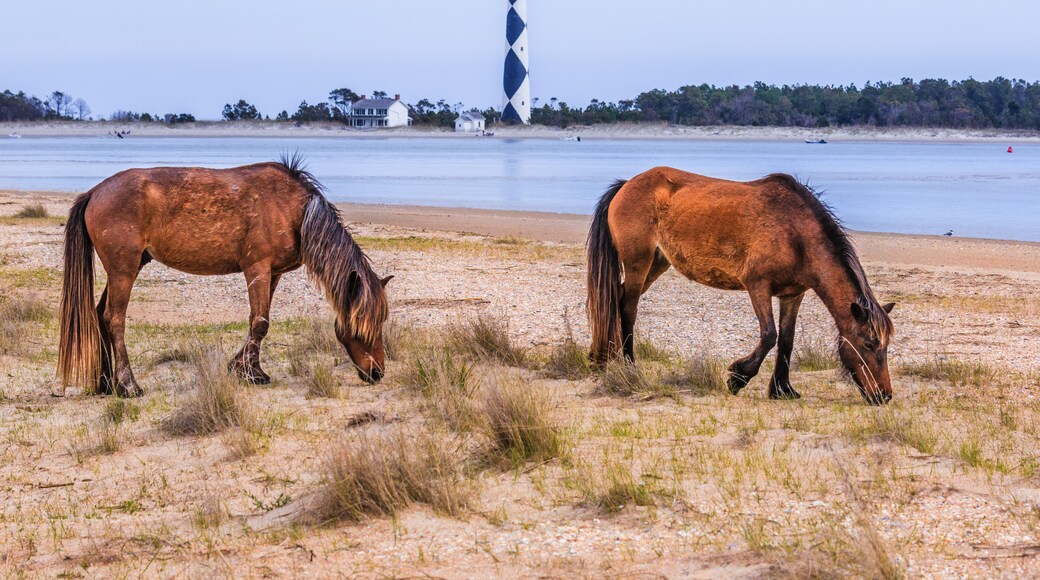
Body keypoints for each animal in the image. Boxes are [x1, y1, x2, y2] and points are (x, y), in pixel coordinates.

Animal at [58, 154, 391, 397]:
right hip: (123, 269)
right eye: (364, 323)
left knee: (99, 314)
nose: (377, 372)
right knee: (114, 319)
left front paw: (243, 367)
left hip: (129, 267)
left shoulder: (273, 274)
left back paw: (105, 383)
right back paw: (127, 385)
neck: (294, 209)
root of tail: (95, 192)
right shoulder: (257, 268)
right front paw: (251, 373)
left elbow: (257, 320)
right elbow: (260, 322)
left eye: (382, 320)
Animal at [586, 167, 895, 405]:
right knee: (628, 308)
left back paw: (600, 356)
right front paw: (738, 377)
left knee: (617, 300)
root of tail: (627, 184)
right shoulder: (757, 286)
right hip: (638, 263)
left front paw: (783, 389)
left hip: (657, 264)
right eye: (869, 344)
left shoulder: (792, 295)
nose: (884, 395)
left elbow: (786, 340)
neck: (795, 233)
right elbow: (769, 335)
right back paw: (629, 365)